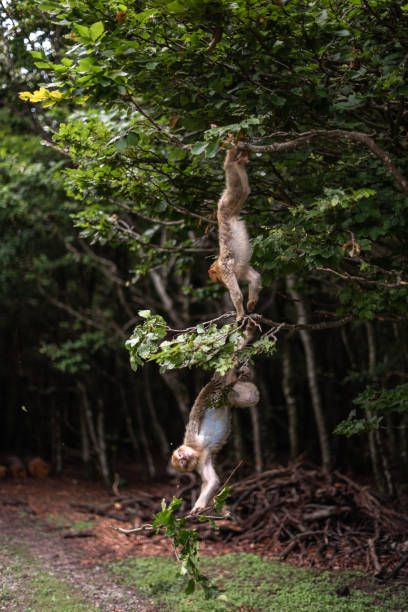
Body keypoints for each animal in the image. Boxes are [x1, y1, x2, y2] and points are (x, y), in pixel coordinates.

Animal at [207, 144, 262, 320]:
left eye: (213, 275)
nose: (214, 279)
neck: (218, 262)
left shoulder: (225, 270)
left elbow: (237, 294)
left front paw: (239, 315)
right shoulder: (240, 270)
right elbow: (254, 278)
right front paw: (251, 304)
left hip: (226, 203)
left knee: (229, 171)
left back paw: (231, 156)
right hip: (233, 201)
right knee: (244, 188)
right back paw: (240, 159)